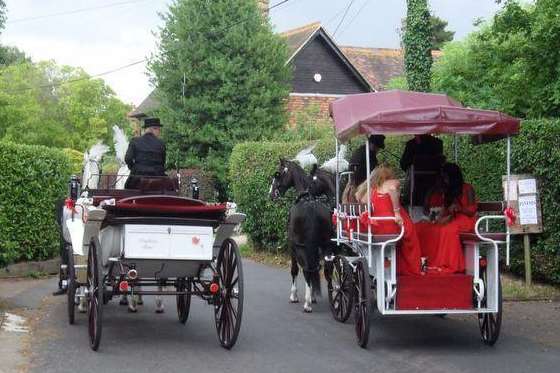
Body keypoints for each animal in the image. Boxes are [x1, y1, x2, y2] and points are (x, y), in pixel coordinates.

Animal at [270, 157, 334, 310]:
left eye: (278, 174)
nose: (271, 194)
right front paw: (313, 295)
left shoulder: (292, 246)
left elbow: (294, 270)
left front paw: (295, 295)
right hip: (326, 245)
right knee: (326, 270)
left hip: (301, 247)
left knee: (306, 269)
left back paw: (307, 303)